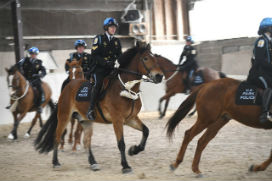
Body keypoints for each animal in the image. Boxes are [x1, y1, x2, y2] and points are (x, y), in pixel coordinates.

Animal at [35, 43, 164, 173]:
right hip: (64, 116)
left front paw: (134, 150)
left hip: (85, 120)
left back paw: (93, 163)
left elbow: (146, 131)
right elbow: (121, 143)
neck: (126, 88)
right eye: (146, 58)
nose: (159, 76)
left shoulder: (130, 119)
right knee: (56, 137)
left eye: (155, 58)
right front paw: (125, 166)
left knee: (86, 142)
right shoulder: (117, 120)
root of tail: (69, 85)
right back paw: (56, 162)